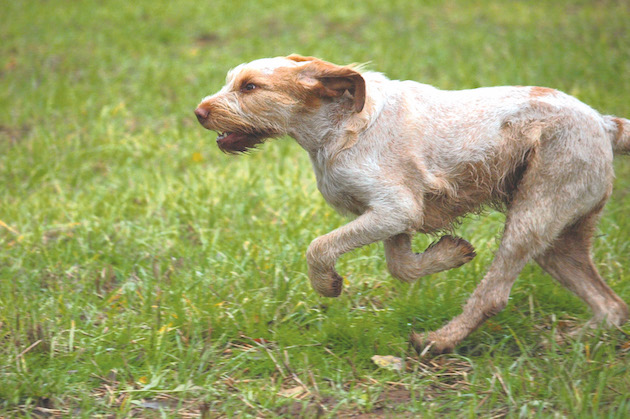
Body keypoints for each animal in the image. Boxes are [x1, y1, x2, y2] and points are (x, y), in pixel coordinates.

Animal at [195, 54, 628, 352]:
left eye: (250, 87)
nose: (199, 112)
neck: (341, 125)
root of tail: (602, 123)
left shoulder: (394, 209)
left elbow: (318, 247)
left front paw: (328, 284)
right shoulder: (393, 219)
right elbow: (402, 267)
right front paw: (452, 252)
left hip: (531, 218)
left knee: (493, 296)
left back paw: (439, 341)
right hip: (558, 238)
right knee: (610, 307)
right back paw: (568, 341)